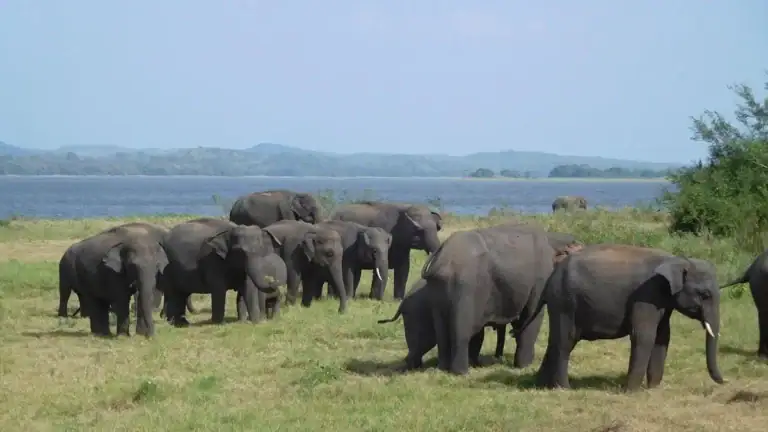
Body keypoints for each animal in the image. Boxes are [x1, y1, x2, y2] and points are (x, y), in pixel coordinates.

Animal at [379, 225, 583, 372]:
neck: (555, 238)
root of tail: (439, 258)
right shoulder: (540, 278)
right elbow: (532, 317)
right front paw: (524, 367)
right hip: (466, 287)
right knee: (462, 331)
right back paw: (460, 372)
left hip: (440, 291)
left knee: (444, 331)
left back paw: (443, 368)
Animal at [529, 244, 723, 391]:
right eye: (705, 295)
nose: (724, 381)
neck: (676, 259)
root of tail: (552, 275)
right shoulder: (646, 294)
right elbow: (644, 336)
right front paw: (631, 391)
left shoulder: (663, 300)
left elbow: (662, 336)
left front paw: (653, 388)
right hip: (564, 301)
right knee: (565, 340)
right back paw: (564, 388)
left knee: (558, 340)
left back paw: (542, 385)